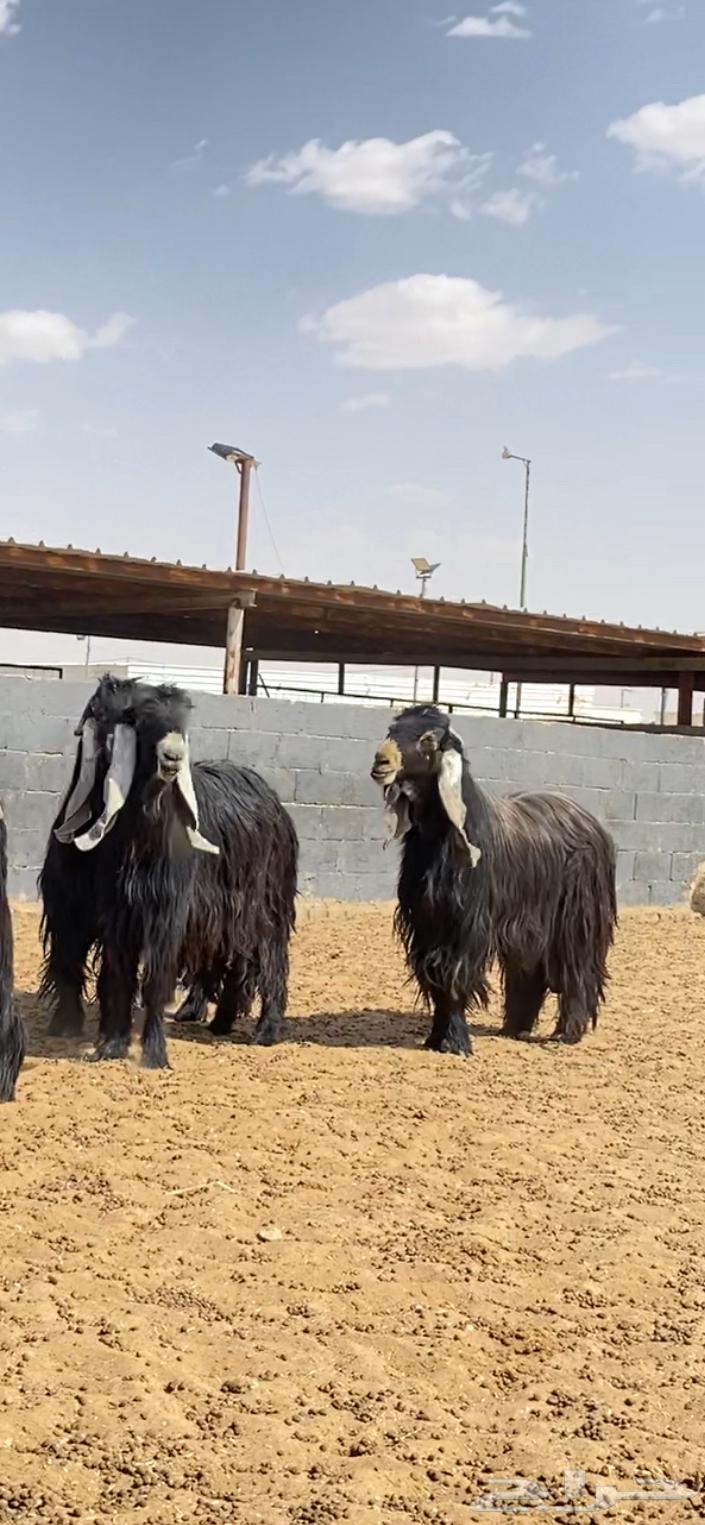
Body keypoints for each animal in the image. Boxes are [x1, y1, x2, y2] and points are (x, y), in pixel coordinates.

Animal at [39, 676, 298, 1069]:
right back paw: (220, 1023)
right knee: (234, 963)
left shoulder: (164, 912)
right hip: (229, 917)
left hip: (266, 909)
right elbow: (108, 974)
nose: (174, 756)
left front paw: (153, 1054)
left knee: (271, 959)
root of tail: (271, 799)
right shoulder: (99, 913)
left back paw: (266, 1031)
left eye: (180, 722)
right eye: (135, 717)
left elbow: (155, 981)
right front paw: (106, 1044)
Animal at [371, 704, 617, 1056]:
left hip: (578, 917)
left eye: (429, 738)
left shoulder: (466, 925)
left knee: (578, 971)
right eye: (391, 730)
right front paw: (437, 1039)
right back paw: (515, 1028)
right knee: (530, 972)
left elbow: (454, 977)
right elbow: (435, 977)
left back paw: (567, 1033)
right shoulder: (427, 923)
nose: (381, 762)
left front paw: (457, 1043)